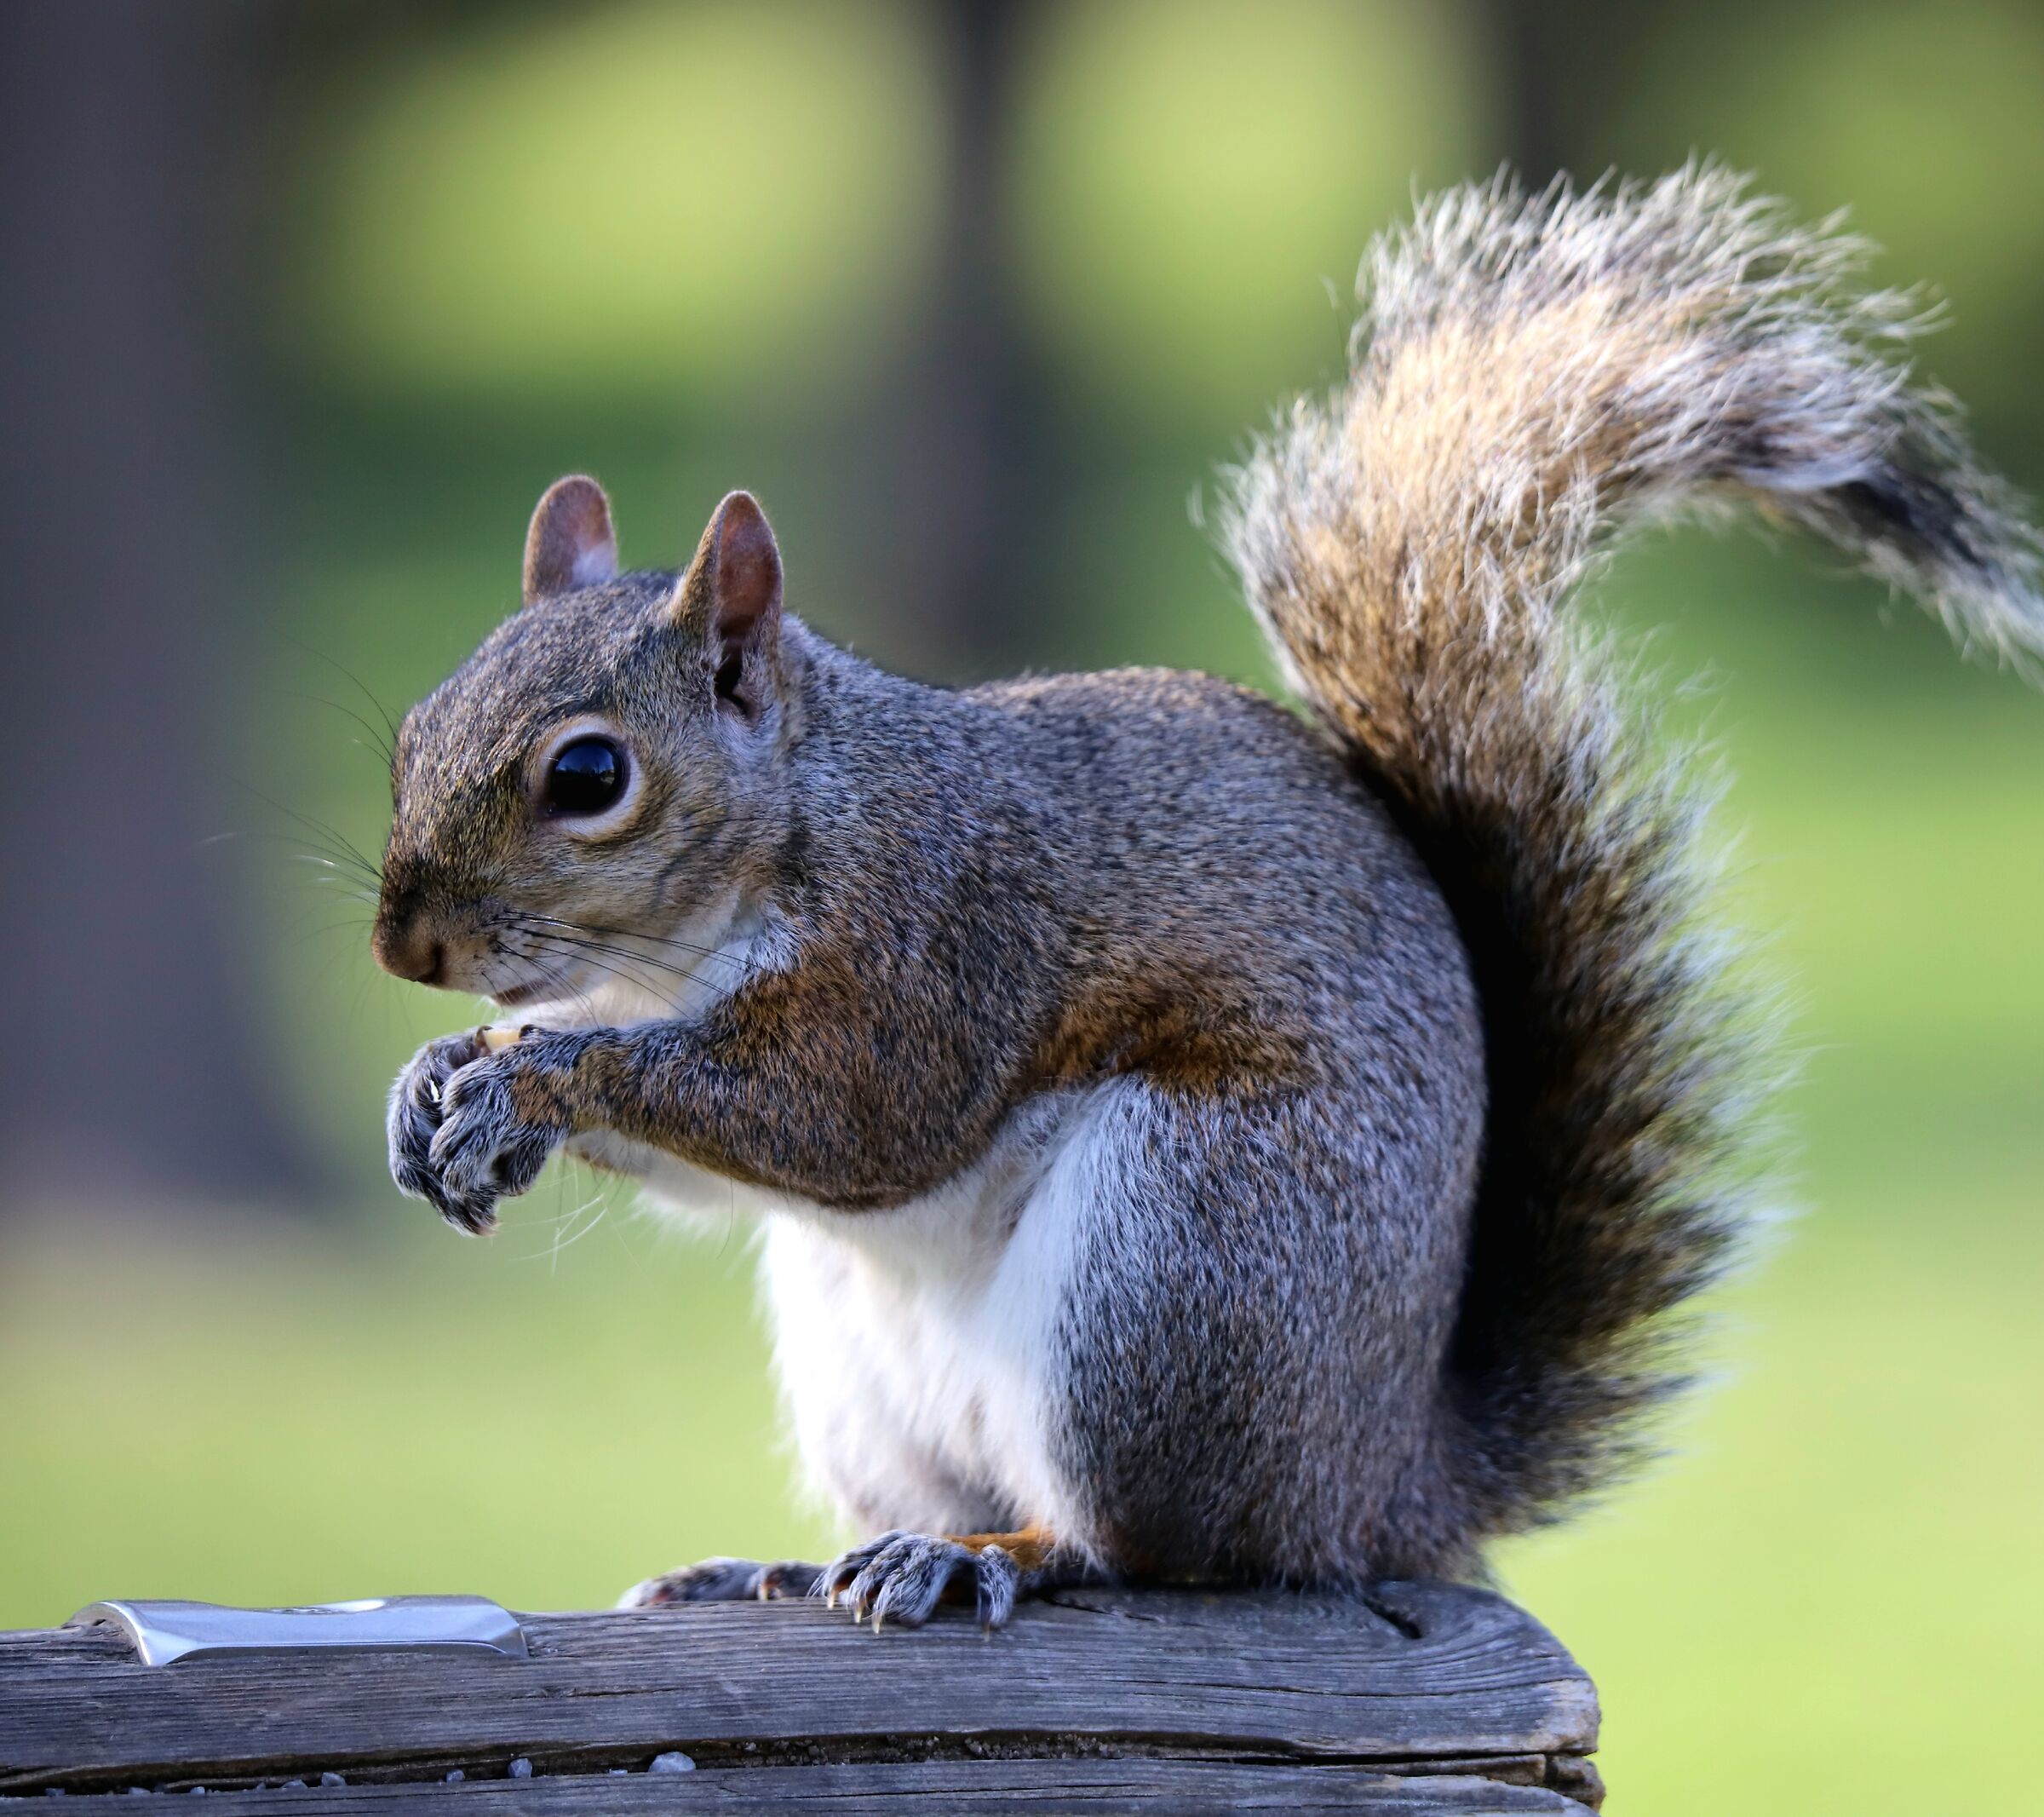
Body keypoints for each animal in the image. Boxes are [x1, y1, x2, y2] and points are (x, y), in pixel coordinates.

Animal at [374, 168, 2042, 1629]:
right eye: (412, 725)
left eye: (591, 774)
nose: (404, 948)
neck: (740, 888)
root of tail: (1378, 1484)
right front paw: (438, 1079)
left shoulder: (940, 933)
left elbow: (844, 1115)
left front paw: (538, 1080)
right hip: (873, 1366)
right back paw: (797, 1563)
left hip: (1179, 1262)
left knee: (1160, 1549)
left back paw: (997, 1558)